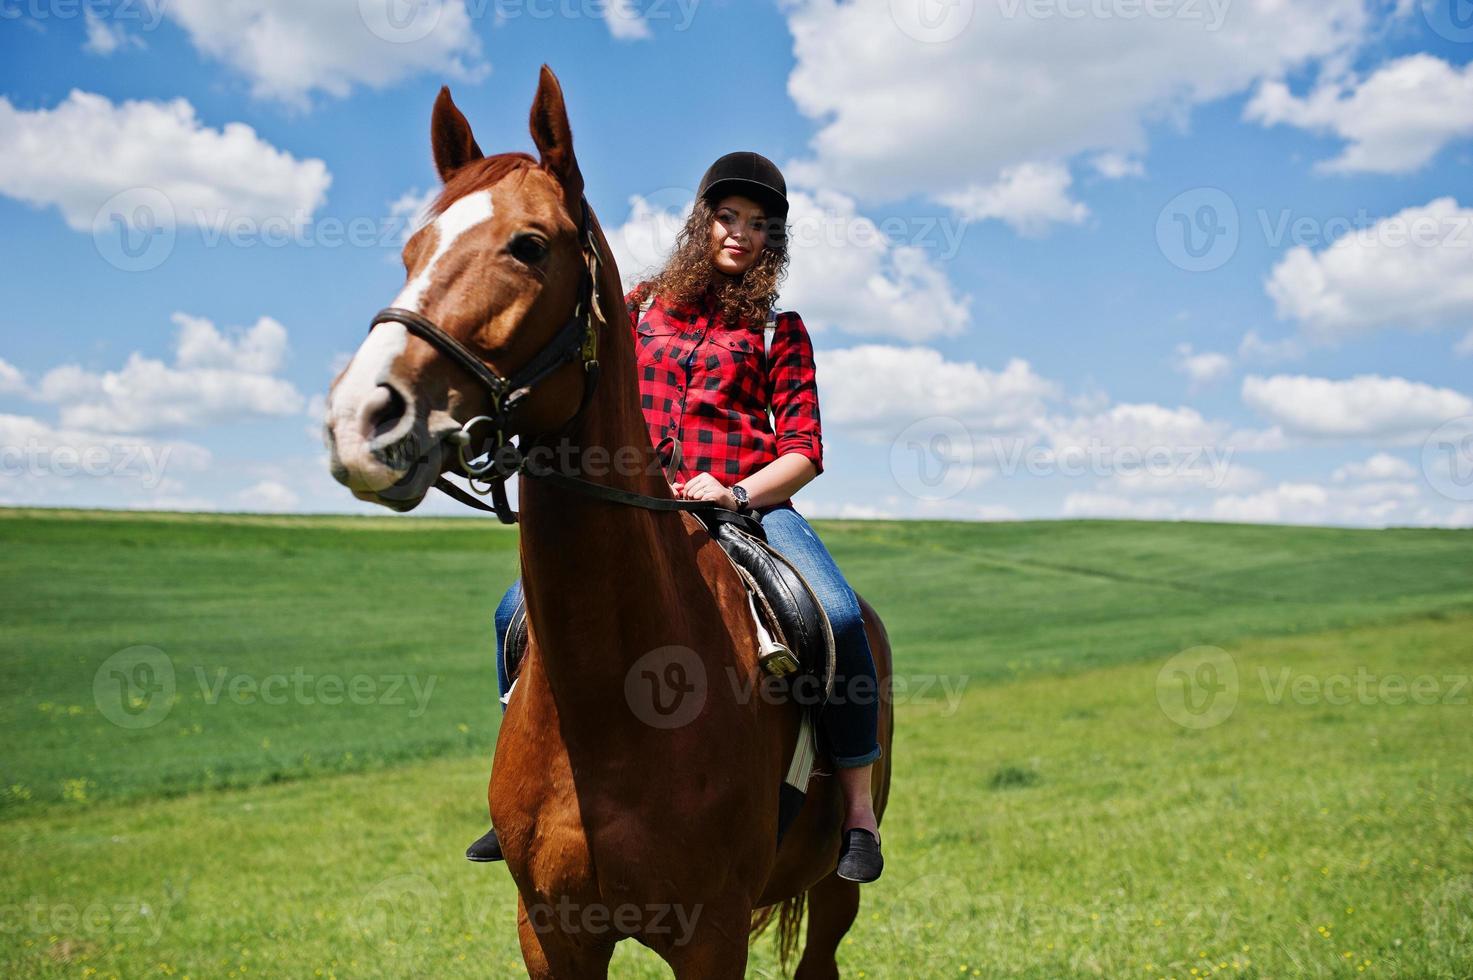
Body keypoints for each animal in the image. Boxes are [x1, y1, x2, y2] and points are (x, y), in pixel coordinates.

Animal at [324, 64, 889, 972]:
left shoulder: (711, 936)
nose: (362, 417)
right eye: (412, 249)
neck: (612, 704)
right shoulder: (551, 932)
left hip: (836, 891)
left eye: (528, 244)